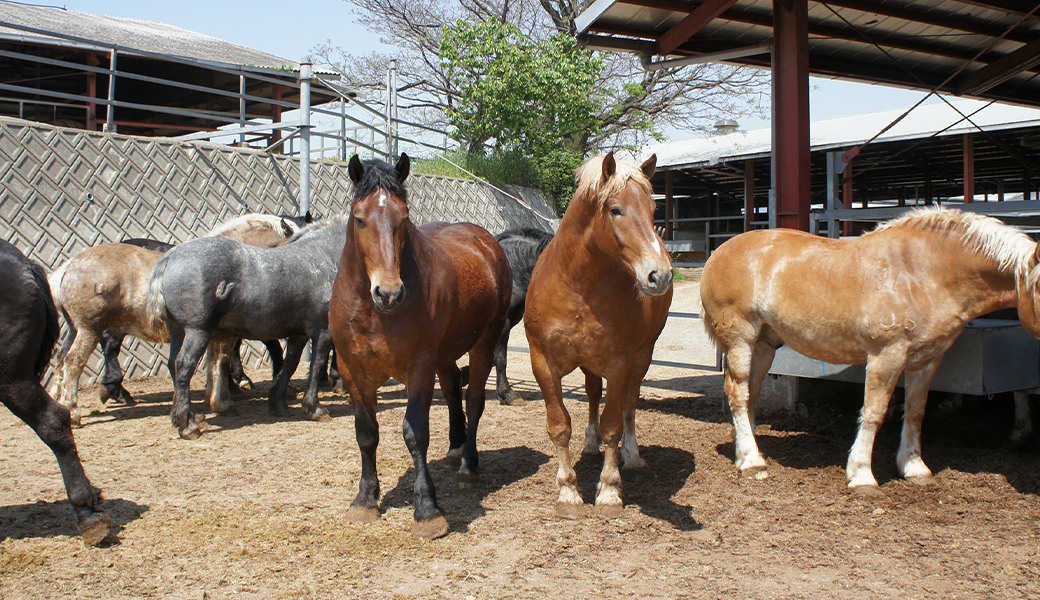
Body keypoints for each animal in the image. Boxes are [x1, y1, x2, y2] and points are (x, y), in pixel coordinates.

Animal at [148, 218, 346, 439]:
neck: (322, 256)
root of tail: (169, 257)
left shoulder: (299, 334)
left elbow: (290, 365)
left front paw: (278, 402)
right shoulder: (323, 330)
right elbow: (317, 364)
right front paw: (314, 408)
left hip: (178, 332)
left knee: (173, 364)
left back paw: (189, 416)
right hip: (197, 331)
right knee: (184, 365)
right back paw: (187, 425)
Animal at [328, 154, 511, 540]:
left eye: (404, 218)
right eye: (359, 219)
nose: (389, 292)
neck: (375, 313)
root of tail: (486, 241)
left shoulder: (419, 368)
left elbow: (416, 433)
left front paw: (427, 509)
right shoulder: (353, 372)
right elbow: (366, 433)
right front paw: (365, 499)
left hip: (484, 342)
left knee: (473, 401)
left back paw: (468, 463)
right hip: (445, 354)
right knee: (454, 388)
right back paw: (455, 448)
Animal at [524, 152, 672, 518]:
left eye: (653, 209)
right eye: (616, 209)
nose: (660, 275)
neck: (579, 287)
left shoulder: (620, 364)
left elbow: (613, 425)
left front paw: (608, 490)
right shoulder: (542, 363)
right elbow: (560, 426)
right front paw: (568, 491)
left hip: (642, 355)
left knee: (630, 404)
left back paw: (632, 457)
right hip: (589, 363)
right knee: (592, 394)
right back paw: (590, 445)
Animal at [699, 206, 1040, 492]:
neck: (924, 271)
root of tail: (720, 251)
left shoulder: (928, 360)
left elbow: (915, 411)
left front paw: (914, 467)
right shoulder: (886, 356)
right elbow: (874, 412)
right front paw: (862, 473)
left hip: (764, 345)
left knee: (749, 393)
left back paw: (746, 449)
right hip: (741, 340)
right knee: (738, 393)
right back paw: (752, 461)